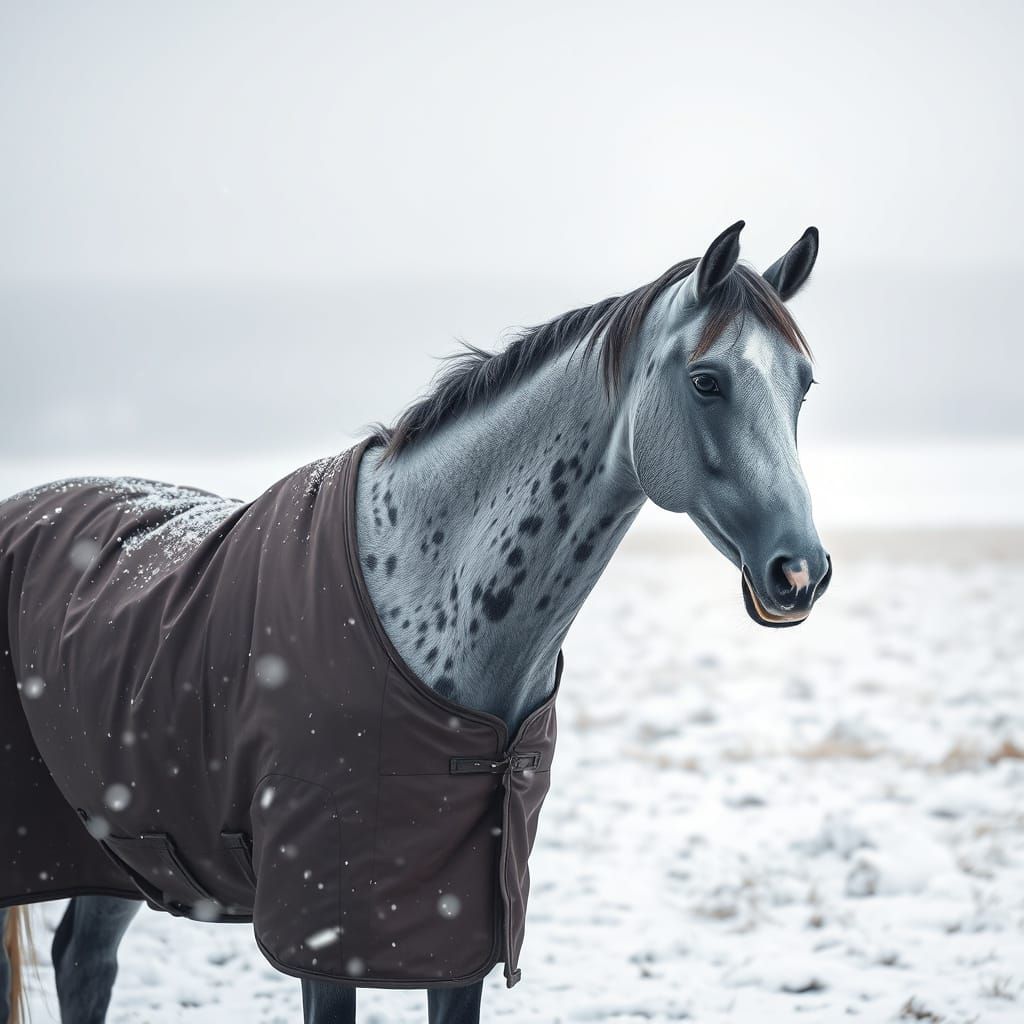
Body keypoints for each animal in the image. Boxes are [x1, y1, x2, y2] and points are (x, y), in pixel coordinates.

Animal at [1, 220, 831, 1024]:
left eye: (804, 384)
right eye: (706, 380)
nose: (802, 572)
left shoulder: (464, 927)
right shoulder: (323, 932)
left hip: (124, 849)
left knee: (83, 962)